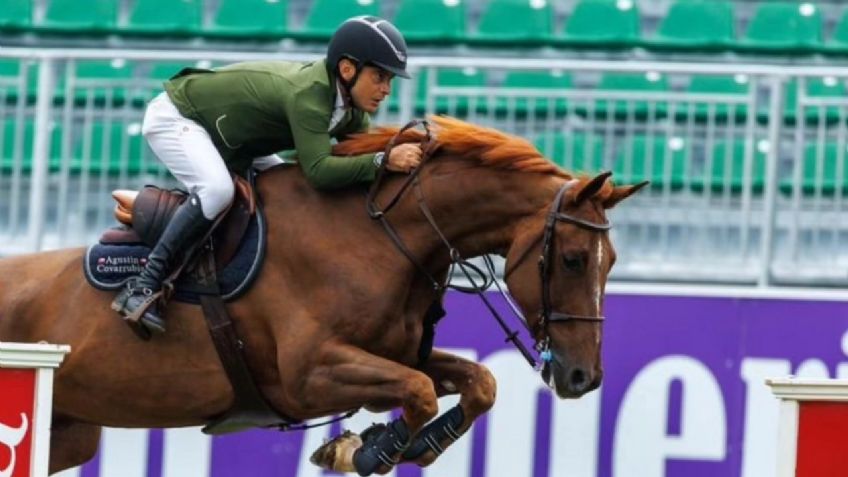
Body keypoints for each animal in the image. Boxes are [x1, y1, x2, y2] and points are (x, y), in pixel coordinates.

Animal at [0, 116, 645, 475]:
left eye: (612, 263)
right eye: (572, 259)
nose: (583, 378)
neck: (382, 234)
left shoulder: (398, 354)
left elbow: (476, 384)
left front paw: (405, 446)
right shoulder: (309, 375)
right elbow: (417, 391)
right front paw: (364, 450)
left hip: (69, 432)